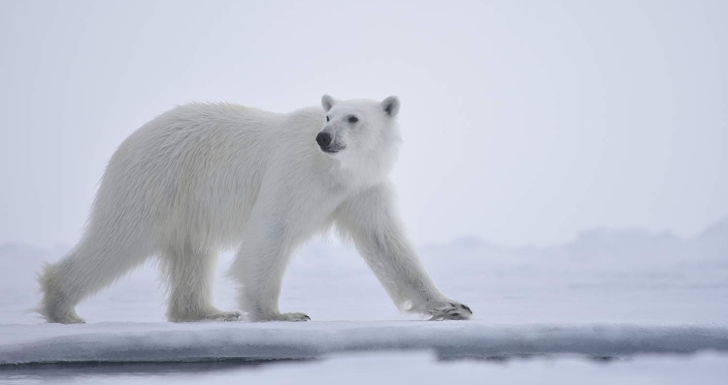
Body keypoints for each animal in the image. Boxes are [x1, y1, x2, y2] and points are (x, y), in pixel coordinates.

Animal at [37, 94, 474, 322]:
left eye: (353, 118)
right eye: (328, 115)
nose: (324, 137)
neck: (333, 170)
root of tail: (128, 142)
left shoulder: (361, 190)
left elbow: (387, 244)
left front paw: (452, 305)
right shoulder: (294, 172)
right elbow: (272, 231)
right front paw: (279, 314)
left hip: (185, 201)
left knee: (193, 254)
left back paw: (208, 312)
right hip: (156, 183)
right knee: (118, 239)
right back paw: (63, 308)